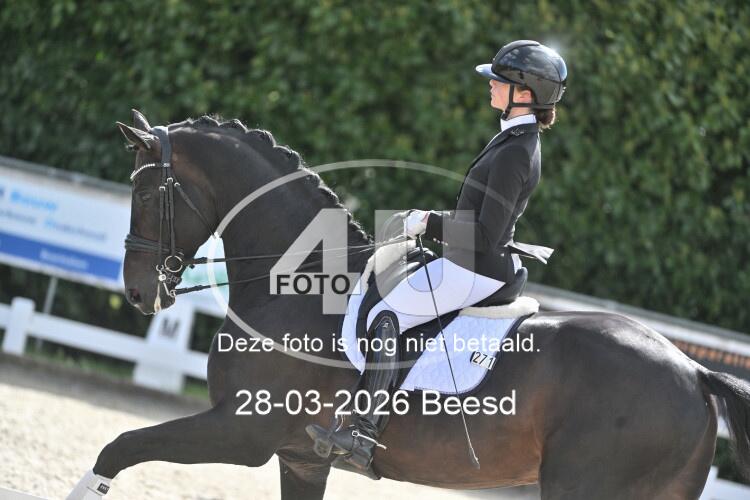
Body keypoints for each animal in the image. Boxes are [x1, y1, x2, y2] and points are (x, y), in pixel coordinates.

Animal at [68, 109, 750, 500]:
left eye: (145, 193)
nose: (138, 290)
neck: (297, 282)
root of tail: (694, 370)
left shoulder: (241, 431)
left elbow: (118, 448)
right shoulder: (299, 458)